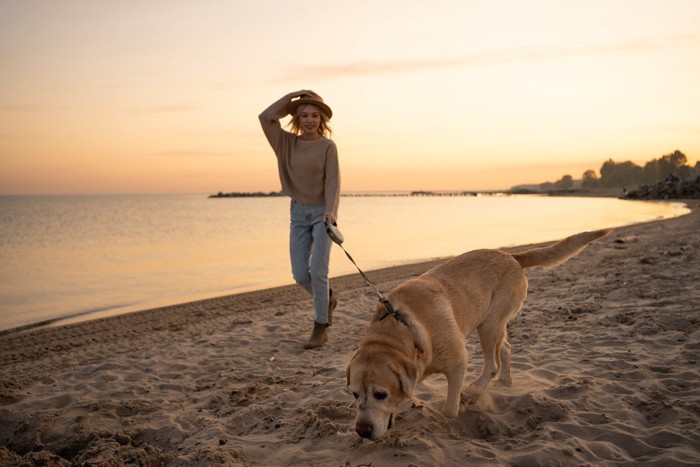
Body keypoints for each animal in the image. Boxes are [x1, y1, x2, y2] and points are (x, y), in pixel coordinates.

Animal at [348, 229, 608, 440]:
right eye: (354, 394)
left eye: (380, 394)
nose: (361, 430)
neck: (406, 329)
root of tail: (511, 256)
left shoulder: (457, 363)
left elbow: (449, 409)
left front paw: (462, 403)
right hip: (494, 324)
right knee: (505, 348)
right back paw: (505, 381)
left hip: (489, 324)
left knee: (492, 364)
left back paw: (475, 390)